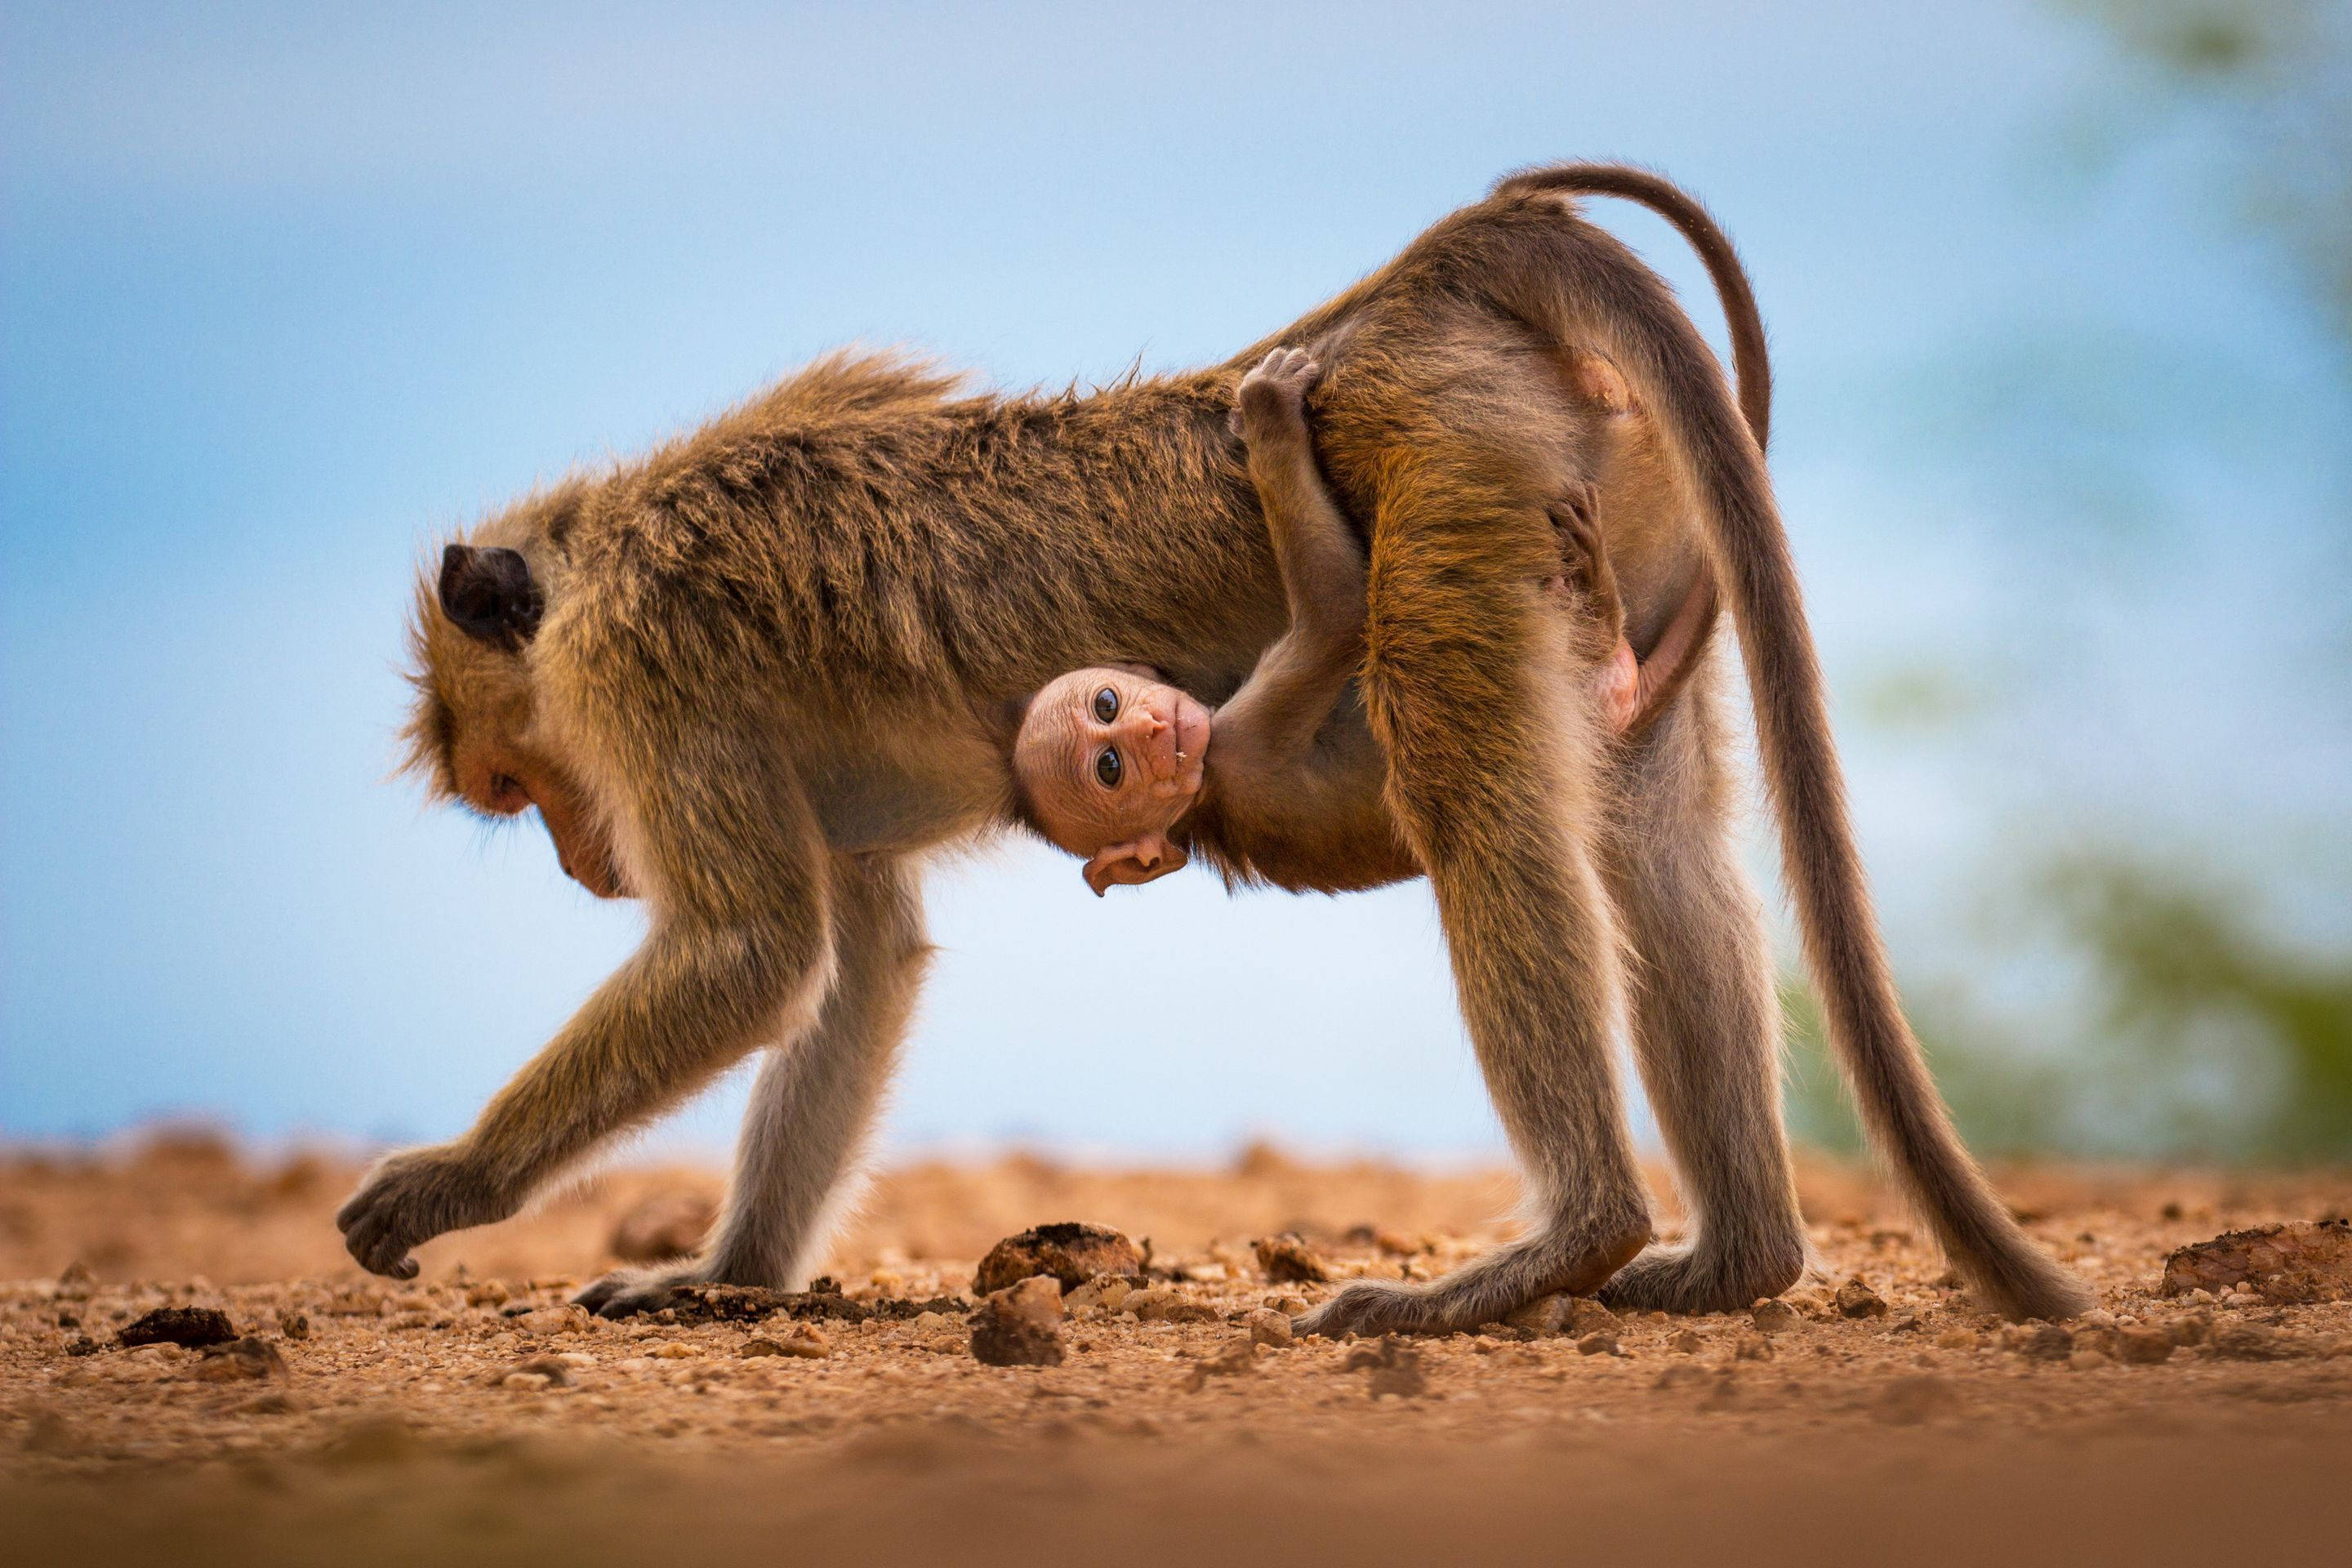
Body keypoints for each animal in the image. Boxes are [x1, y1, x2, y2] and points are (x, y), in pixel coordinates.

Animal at [341, 164, 2091, 1333]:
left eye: (523, 785)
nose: (586, 866)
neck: (604, 531)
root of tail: (1416, 301)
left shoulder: (644, 667)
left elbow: (750, 952)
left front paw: (449, 1188)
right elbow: (857, 963)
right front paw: (729, 1279)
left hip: (1450, 463)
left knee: (1479, 807)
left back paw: (1563, 1243)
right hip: (1609, 514)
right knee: (1652, 847)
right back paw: (1735, 1265)